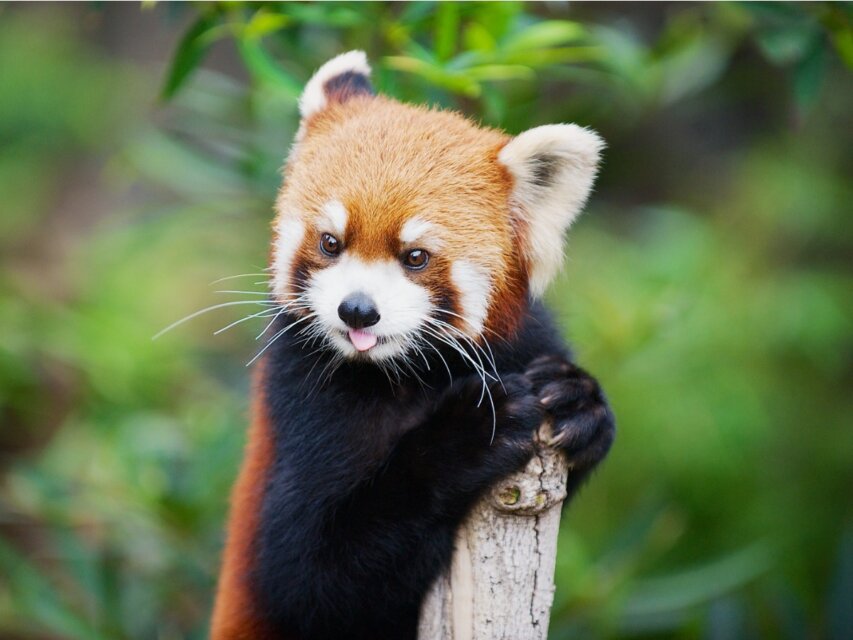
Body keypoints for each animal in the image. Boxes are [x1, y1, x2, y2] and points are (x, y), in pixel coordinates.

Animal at [210, 51, 615, 640]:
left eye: (416, 257)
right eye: (330, 243)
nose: (357, 310)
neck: (409, 373)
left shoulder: (523, 341)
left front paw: (575, 398)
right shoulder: (304, 405)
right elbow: (307, 578)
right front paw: (470, 433)